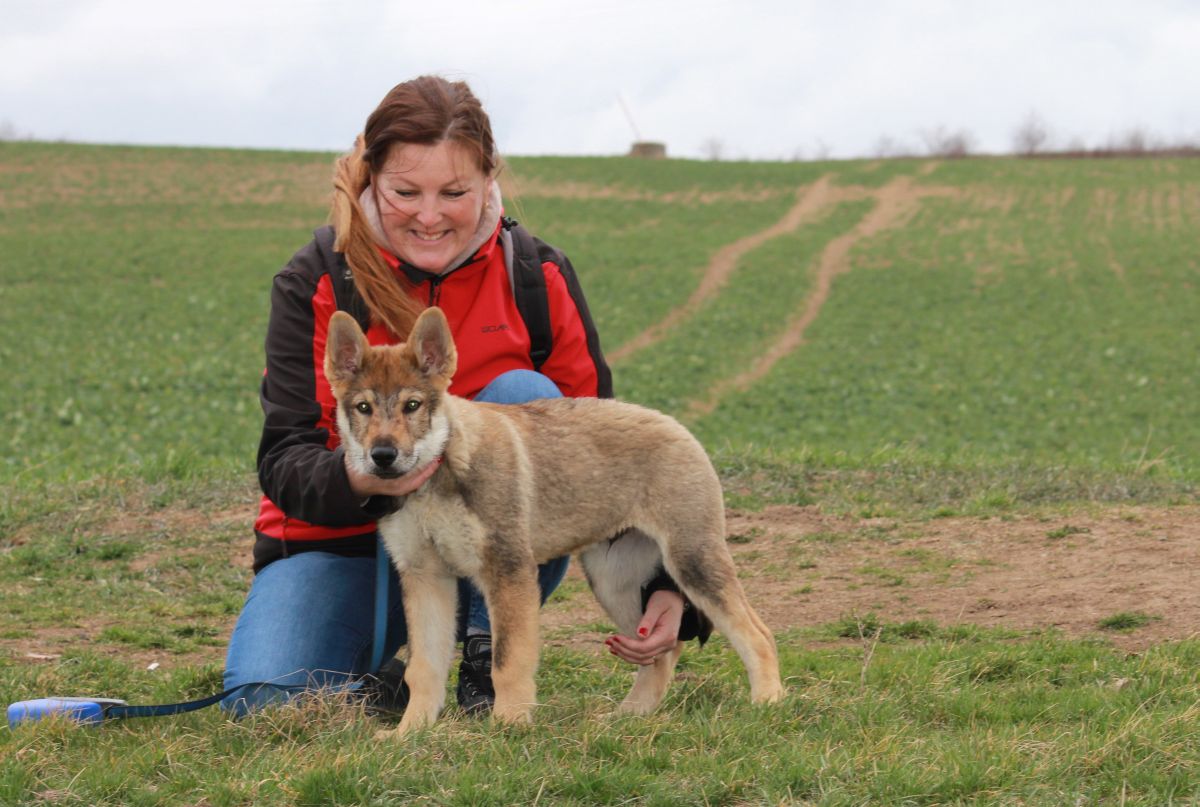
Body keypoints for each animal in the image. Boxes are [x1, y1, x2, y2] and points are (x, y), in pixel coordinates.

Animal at [324, 306, 782, 734]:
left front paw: (508, 725)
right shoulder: (425, 577)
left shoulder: (507, 571)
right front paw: (410, 732)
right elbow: (424, 669)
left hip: (692, 562)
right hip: (614, 582)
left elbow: (507, 661)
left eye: (412, 405)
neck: (438, 477)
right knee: (664, 652)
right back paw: (628, 716)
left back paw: (768, 703)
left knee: (757, 633)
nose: (383, 456)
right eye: (363, 408)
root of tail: (675, 425)